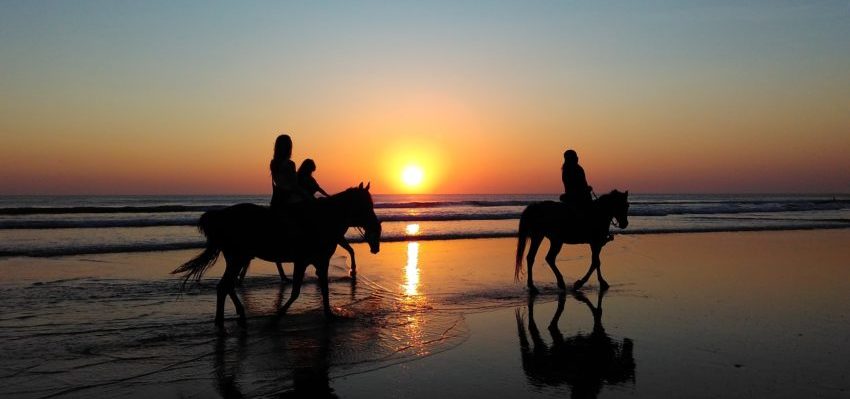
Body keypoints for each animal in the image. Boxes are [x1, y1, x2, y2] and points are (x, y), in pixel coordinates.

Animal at [174, 184, 380, 328]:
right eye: (365, 205)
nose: (376, 227)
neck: (321, 220)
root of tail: (221, 216)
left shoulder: (319, 262)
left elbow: (324, 289)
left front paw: (329, 314)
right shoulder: (304, 261)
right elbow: (297, 291)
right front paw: (277, 317)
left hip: (238, 259)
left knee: (227, 285)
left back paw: (237, 314)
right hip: (238, 258)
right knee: (225, 286)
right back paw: (223, 320)